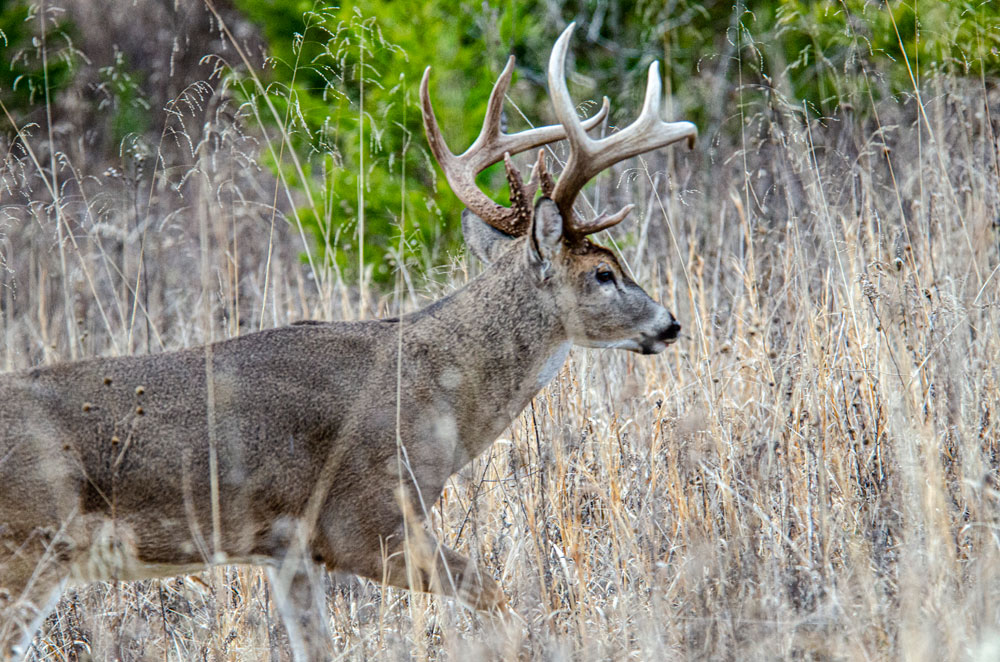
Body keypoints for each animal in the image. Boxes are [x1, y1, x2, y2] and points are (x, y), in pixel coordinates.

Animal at [0, 23, 692, 660]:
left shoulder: (290, 552)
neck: (439, 391)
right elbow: (496, 595)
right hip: (33, 546)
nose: (669, 322)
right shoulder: (367, 522)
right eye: (602, 273)